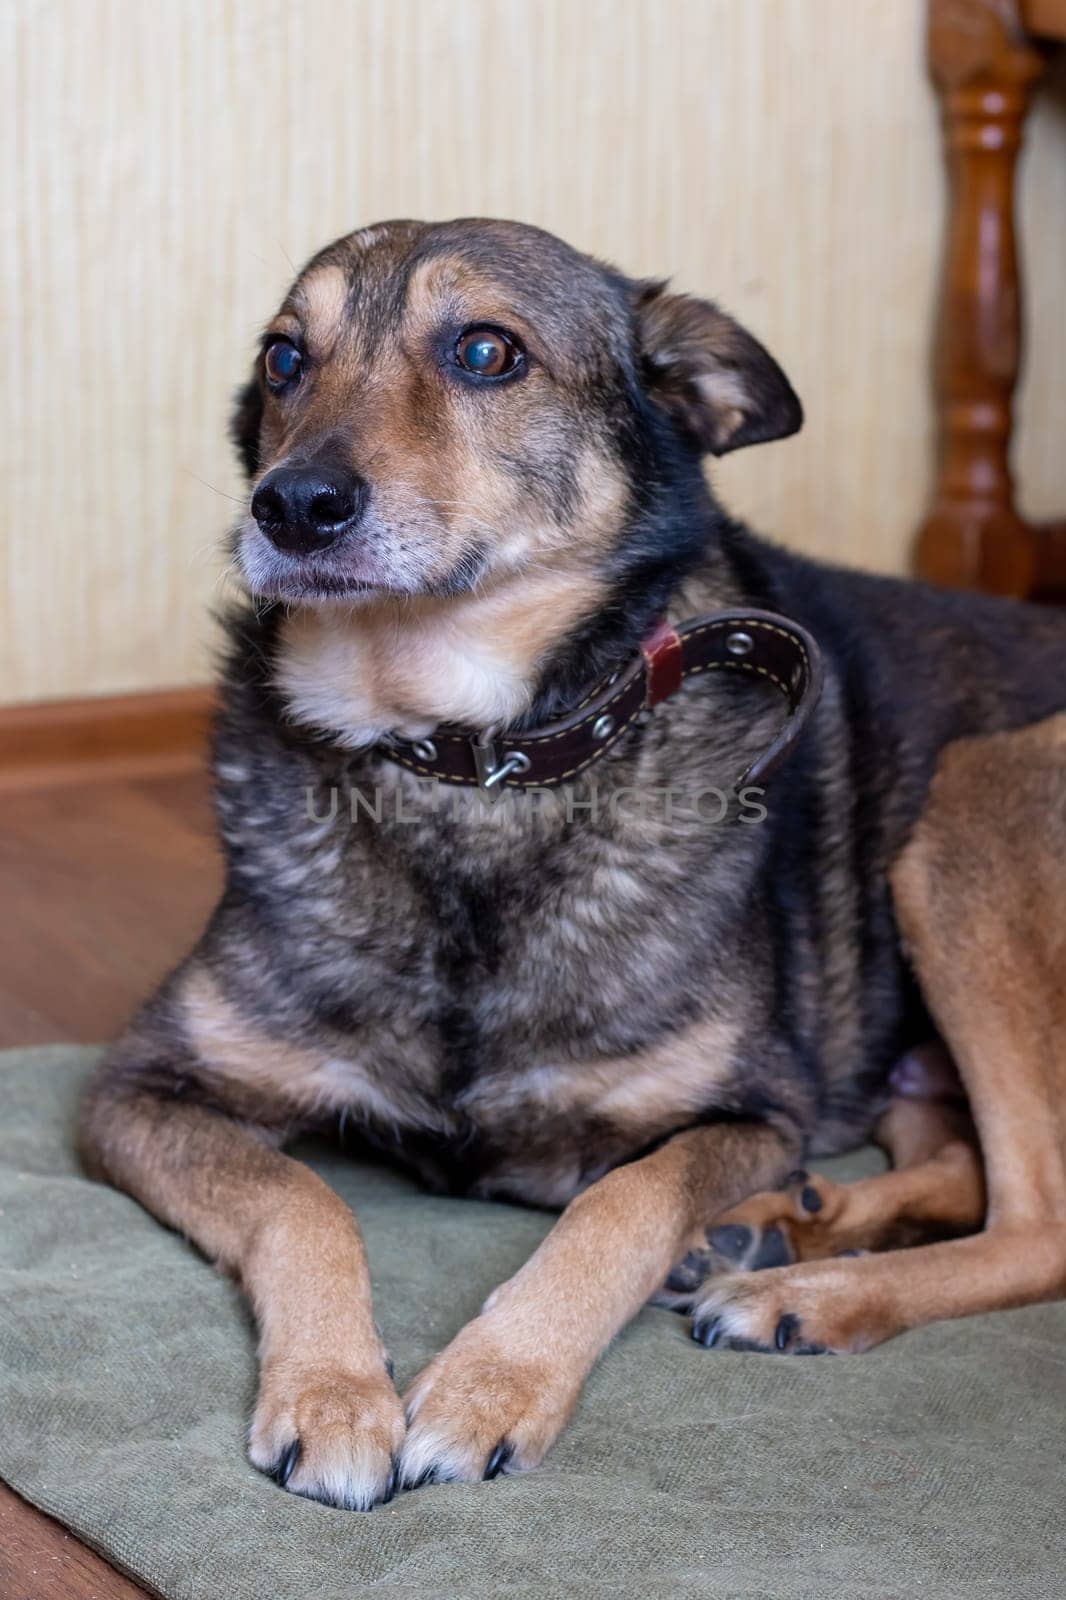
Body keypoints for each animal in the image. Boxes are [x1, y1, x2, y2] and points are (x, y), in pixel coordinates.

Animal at [78, 219, 1062, 1504]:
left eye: (486, 351)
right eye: (285, 359)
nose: (288, 504)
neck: (470, 760)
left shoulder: (756, 1104)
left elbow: (621, 1202)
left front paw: (493, 1384)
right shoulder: (136, 1087)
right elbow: (297, 1195)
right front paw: (333, 1393)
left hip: (965, 815)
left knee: (1038, 1223)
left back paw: (798, 1290)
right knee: (964, 1171)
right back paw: (780, 1224)